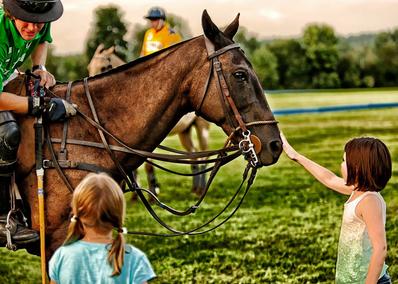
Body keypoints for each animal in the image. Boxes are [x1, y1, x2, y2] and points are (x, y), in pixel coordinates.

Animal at [87, 44, 211, 194]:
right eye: (89, 67)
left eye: (104, 67)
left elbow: (148, 166)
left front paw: (153, 190)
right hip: (185, 131)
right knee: (193, 154)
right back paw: (195, 187)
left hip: (202, 127)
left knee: (203, 155)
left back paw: (201, 189)